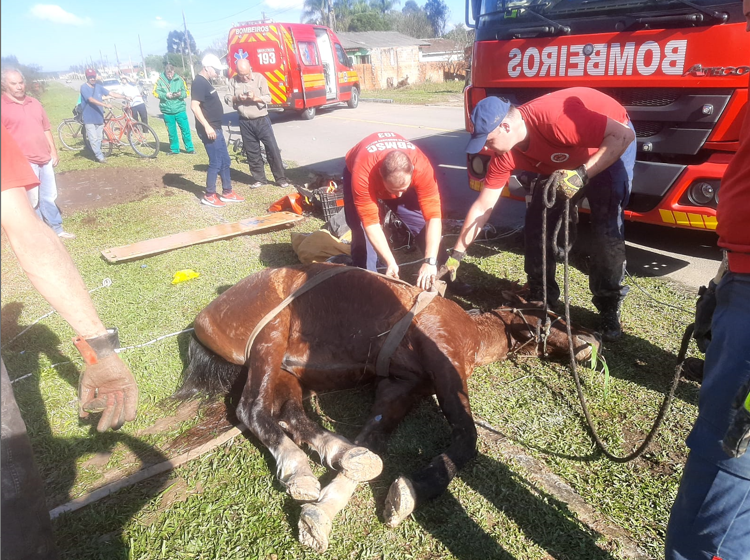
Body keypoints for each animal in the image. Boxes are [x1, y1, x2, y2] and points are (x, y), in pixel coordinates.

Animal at [175, 262, 600, 552]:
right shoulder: (445, 369)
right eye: (556, 315)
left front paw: (324, 511)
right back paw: (297, 469)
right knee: (251, 410)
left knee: (289, 414)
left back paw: (339, 454)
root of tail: (204, 320)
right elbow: (467, 438)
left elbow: (374, 437)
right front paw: (417, 488)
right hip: (271, 338)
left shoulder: (400, 388)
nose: (594, 339)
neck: (471, 332)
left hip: (287, 370)